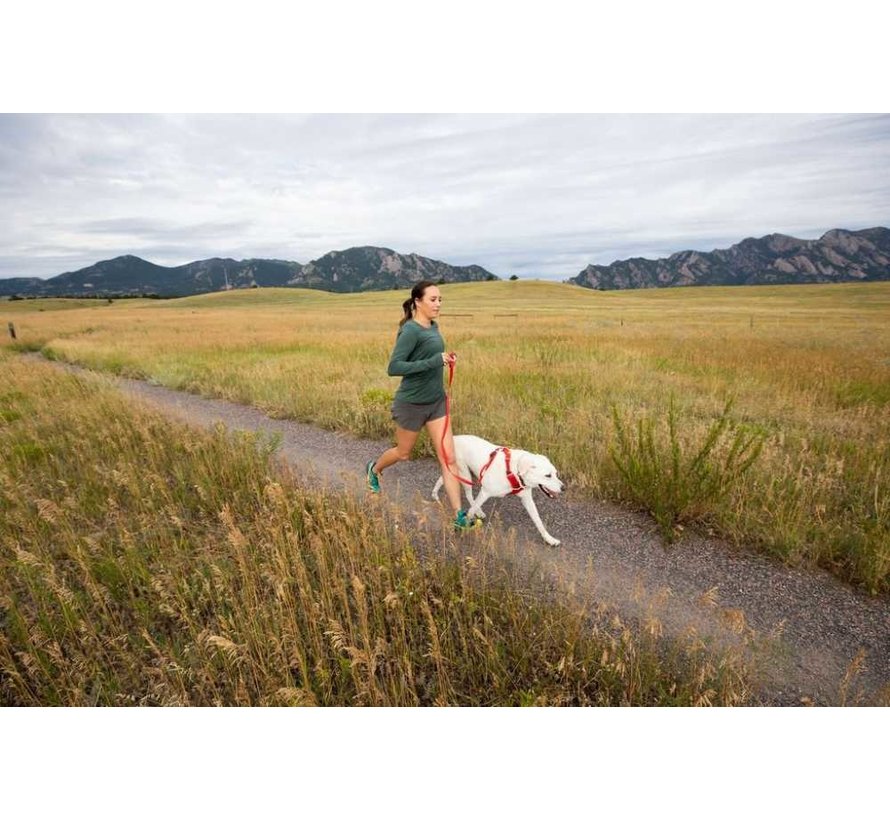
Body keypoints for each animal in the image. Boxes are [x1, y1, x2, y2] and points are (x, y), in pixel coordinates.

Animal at [430, 436, 560, 544]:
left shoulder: (527, 499)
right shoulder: (485, 492)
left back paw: (435, 494)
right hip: (464, 473)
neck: (514, 470)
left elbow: (538, 521)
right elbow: (471, 510)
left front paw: (549, 539)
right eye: (548, 475)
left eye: (555, 473)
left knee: (442, 479)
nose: (563, 487)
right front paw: (464, 525)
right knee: (468, 494)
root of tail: (455, 438)